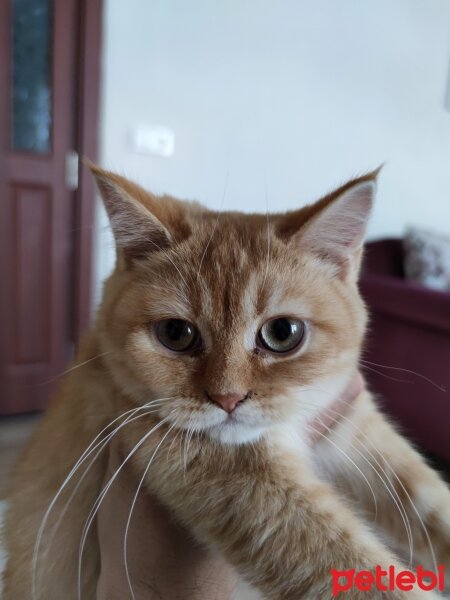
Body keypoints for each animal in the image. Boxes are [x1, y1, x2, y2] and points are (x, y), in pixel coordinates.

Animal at [3, 165, 450, 600]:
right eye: (175, 333)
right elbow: (344, 562)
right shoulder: (235, 481)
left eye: (283, 333)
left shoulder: (357, 427)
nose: (228, 398)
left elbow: (428, 499)